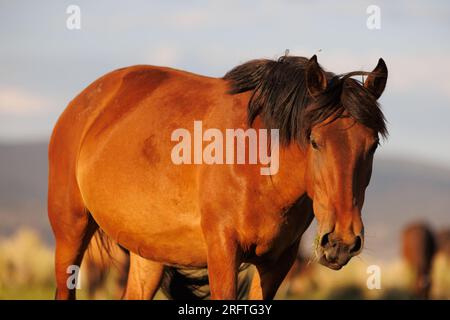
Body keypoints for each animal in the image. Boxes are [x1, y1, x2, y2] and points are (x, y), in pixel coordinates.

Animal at [48, 53, 386, 300]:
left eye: (372, 145)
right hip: (71, 233)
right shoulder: (223, 253)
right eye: (314, 141)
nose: (341, 242)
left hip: (147, 255)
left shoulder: (276, 264)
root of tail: (85, 102)